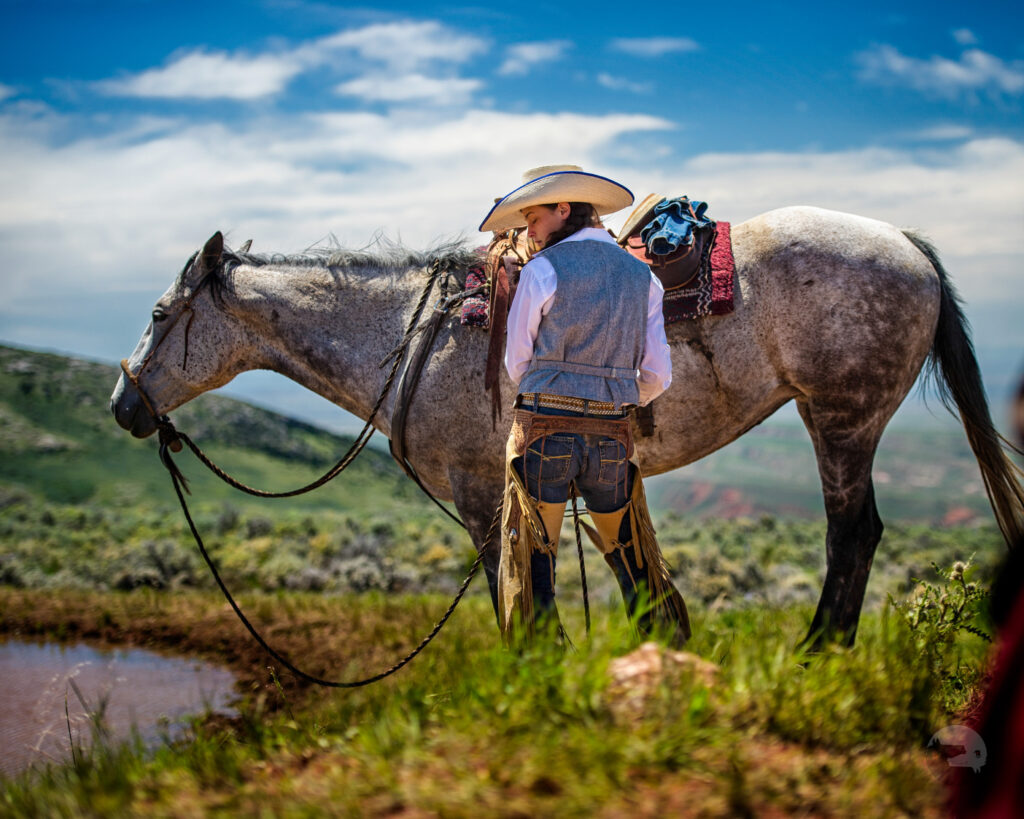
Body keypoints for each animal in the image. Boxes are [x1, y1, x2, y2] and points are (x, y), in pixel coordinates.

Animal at [110, 205, 1024, 648]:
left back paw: (817, 650)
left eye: (157, 313)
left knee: (853, 532)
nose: (123, 405)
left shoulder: (484, 488)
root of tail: (905, 243)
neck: (414, 334)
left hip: (842, 417)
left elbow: (513, 581)